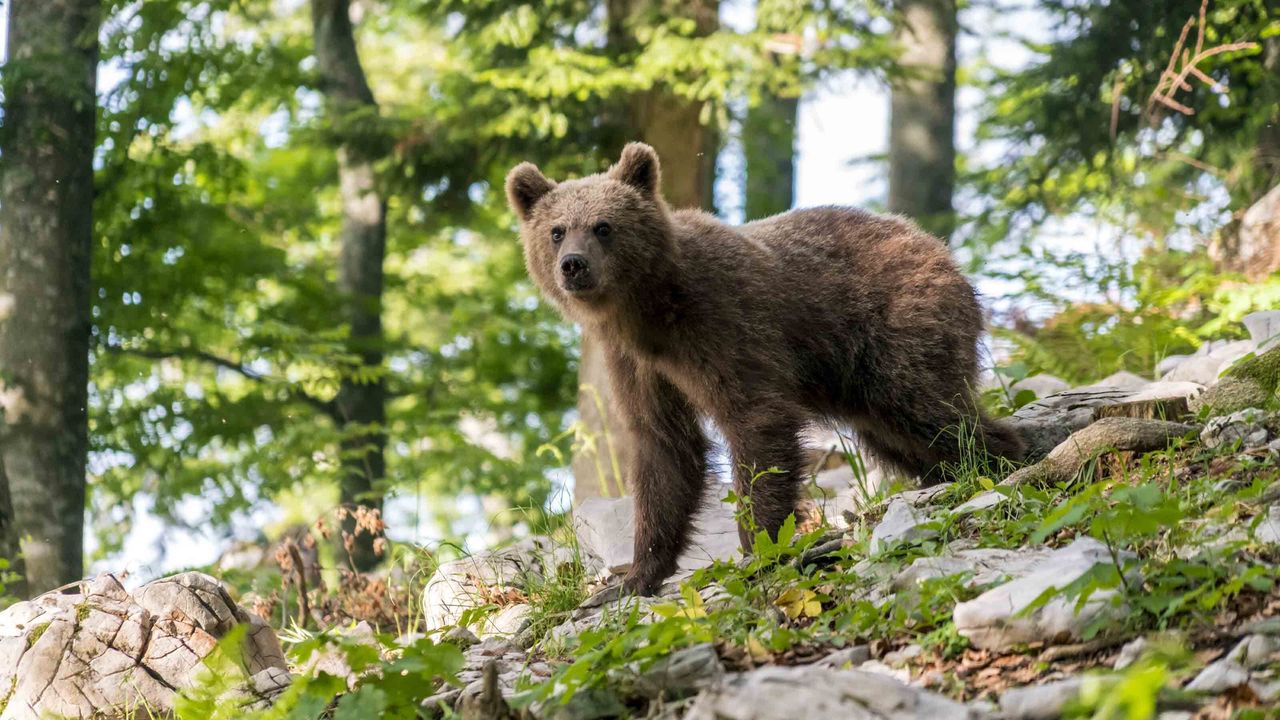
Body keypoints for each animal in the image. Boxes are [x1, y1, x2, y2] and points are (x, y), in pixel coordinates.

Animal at [501, 141, 1018, 594]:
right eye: (556, 230)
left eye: (603, 226)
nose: (573, 265)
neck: (649, 311)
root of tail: (934, 243)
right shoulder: (637, 365)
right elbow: (663, 449)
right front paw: (634, 576)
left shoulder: (723, 323)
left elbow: (756, 421)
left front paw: (760, 547)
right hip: (858, 379)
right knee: (899, 434)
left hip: (896, 325)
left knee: (930, 410)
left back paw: (1001, 460)